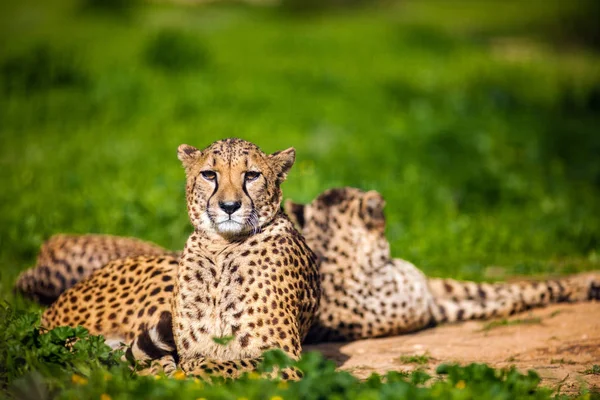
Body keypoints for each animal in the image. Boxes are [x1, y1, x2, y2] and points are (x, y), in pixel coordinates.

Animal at [39, 139, 322, 380]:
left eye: (252, 175)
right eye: (209, 174)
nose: (229, 206)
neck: (221, 246)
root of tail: (50, 311)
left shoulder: (284, 359)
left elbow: (218, 366)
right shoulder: (190, 352)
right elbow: (192, 367)